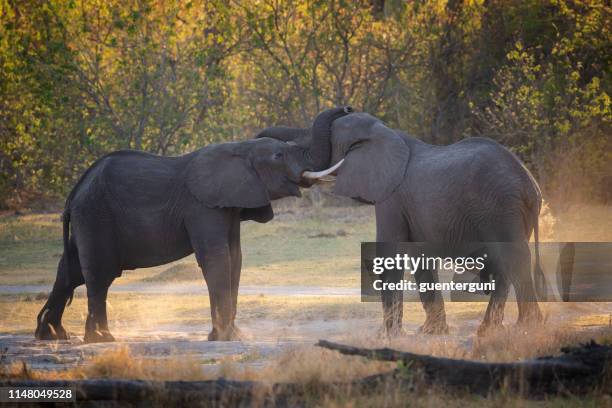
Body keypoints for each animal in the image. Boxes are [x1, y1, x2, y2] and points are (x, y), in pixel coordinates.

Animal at [35, 104, 352, 342]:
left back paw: (52, 335)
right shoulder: (201, 205)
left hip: (88, 216)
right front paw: (224, 338)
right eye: (279, 155)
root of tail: (75, 190)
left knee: (70, 270)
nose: (347, 108)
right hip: (96, 215)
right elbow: (217, 257)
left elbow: (235, 257)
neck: (239, 148)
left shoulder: (228, 204)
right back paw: (101, 339)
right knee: (99, 274)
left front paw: (234, 335)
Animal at [256, 111, 548, 334]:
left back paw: (516, 328)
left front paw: (388, 336)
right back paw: (504, 328)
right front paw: (430, 332)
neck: (384, 132)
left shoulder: (391, 198)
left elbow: (390, 253)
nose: (344, 106)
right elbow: (419, 257)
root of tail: (531, 186)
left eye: (328, 139)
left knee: (513, 260)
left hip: (500, 208)